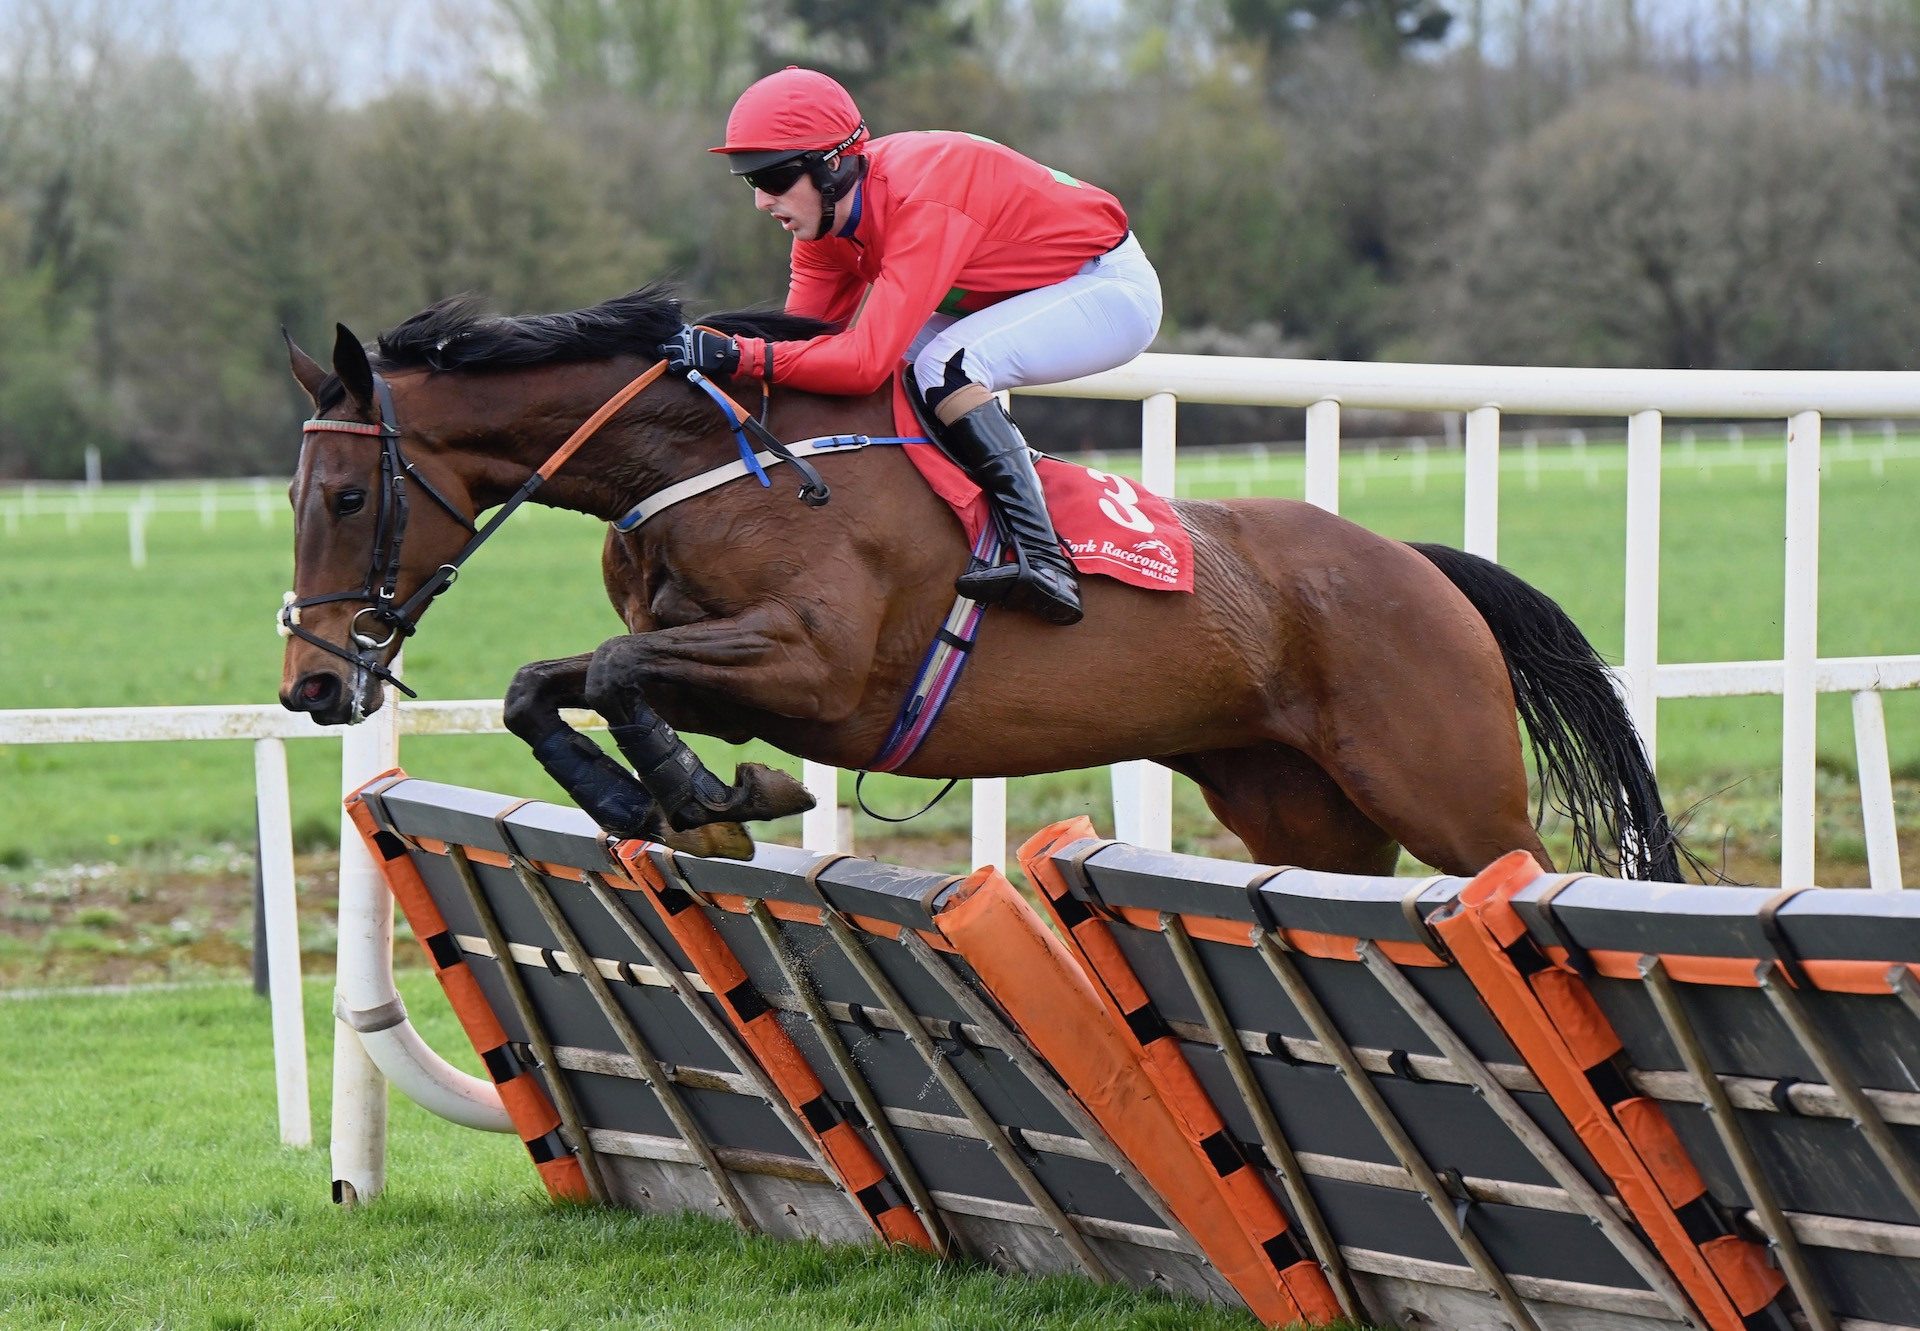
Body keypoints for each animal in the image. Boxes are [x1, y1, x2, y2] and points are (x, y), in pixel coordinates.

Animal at [278, 286, 1689, 875]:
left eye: (345, 497)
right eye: (293, 497)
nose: (310, 686)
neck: (715, 459)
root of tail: (1420, 567)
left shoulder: (816, 666)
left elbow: (620, 669)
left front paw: (708, 794)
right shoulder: (724, 662)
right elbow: (547, 682)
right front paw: (673, 800)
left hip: (1448, 789)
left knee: (1527, 878)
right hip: (1299, 807)